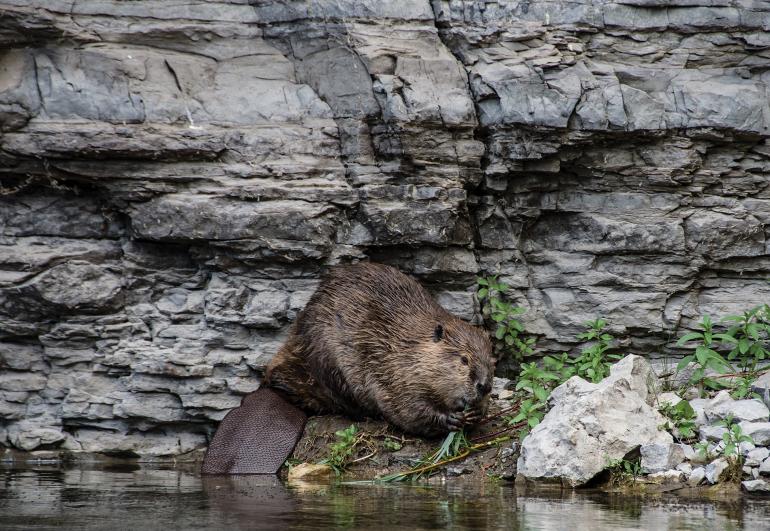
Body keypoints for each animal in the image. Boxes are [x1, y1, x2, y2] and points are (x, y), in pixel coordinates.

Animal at [201, 262, 496, 474]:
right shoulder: (389, 367)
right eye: (464, 359)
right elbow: (405, 408)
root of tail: (275, 389)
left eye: (490, 359)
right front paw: (452, 419)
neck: (410, 344)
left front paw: (476, 413)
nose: (484, 386)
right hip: (328, 362)